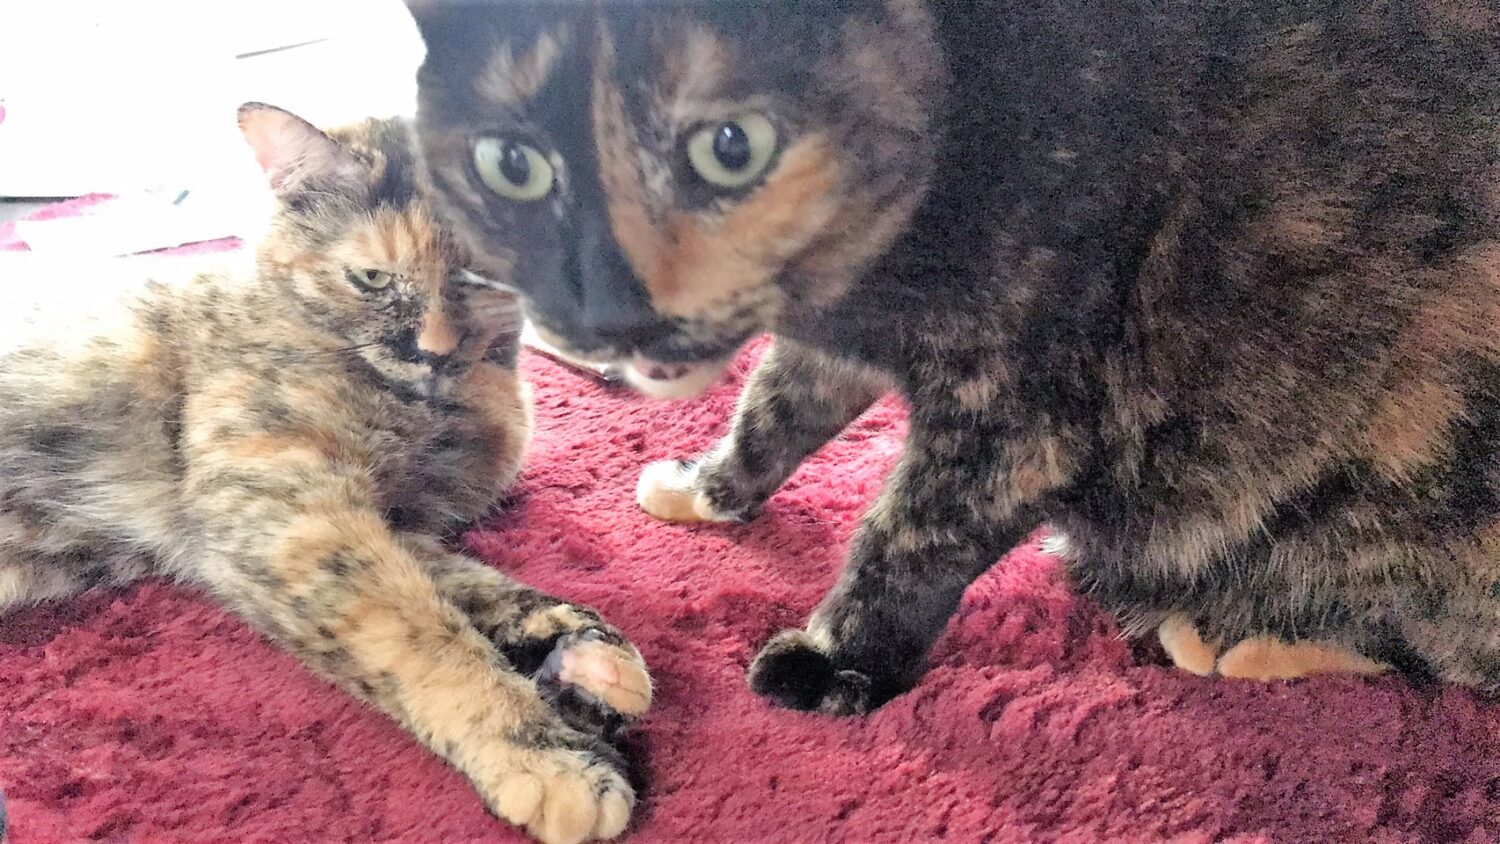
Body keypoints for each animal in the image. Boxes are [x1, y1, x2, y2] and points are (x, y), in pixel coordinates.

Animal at [0, 104, 651, 844]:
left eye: (480, 280)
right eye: (370, 278)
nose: (431, 349)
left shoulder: (391, 524)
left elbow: (475, 585)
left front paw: (584, 653)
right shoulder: (289, 513)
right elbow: (425, 635)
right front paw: (547, 756)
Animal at [401, 0, 1500, 713]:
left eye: (731, 145)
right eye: (510, 164)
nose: (606, 309)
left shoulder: (1019, 415)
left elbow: (907, 534)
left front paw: (833, 659)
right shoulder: (834, 340)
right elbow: (777, 403)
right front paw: (710, 487)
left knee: (1433, 653)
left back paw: (1234, 630)